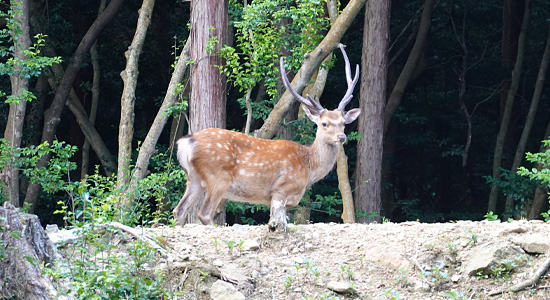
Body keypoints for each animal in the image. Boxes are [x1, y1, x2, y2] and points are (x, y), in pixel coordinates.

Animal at [172, 44, 362, 231]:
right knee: (204, 213)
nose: (341, 137)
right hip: (218, 176)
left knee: (179, 210)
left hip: (194, 178)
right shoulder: (280, 189)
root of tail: (186, 142)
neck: (309, 168)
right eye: (324, 123)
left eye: (343, 123)